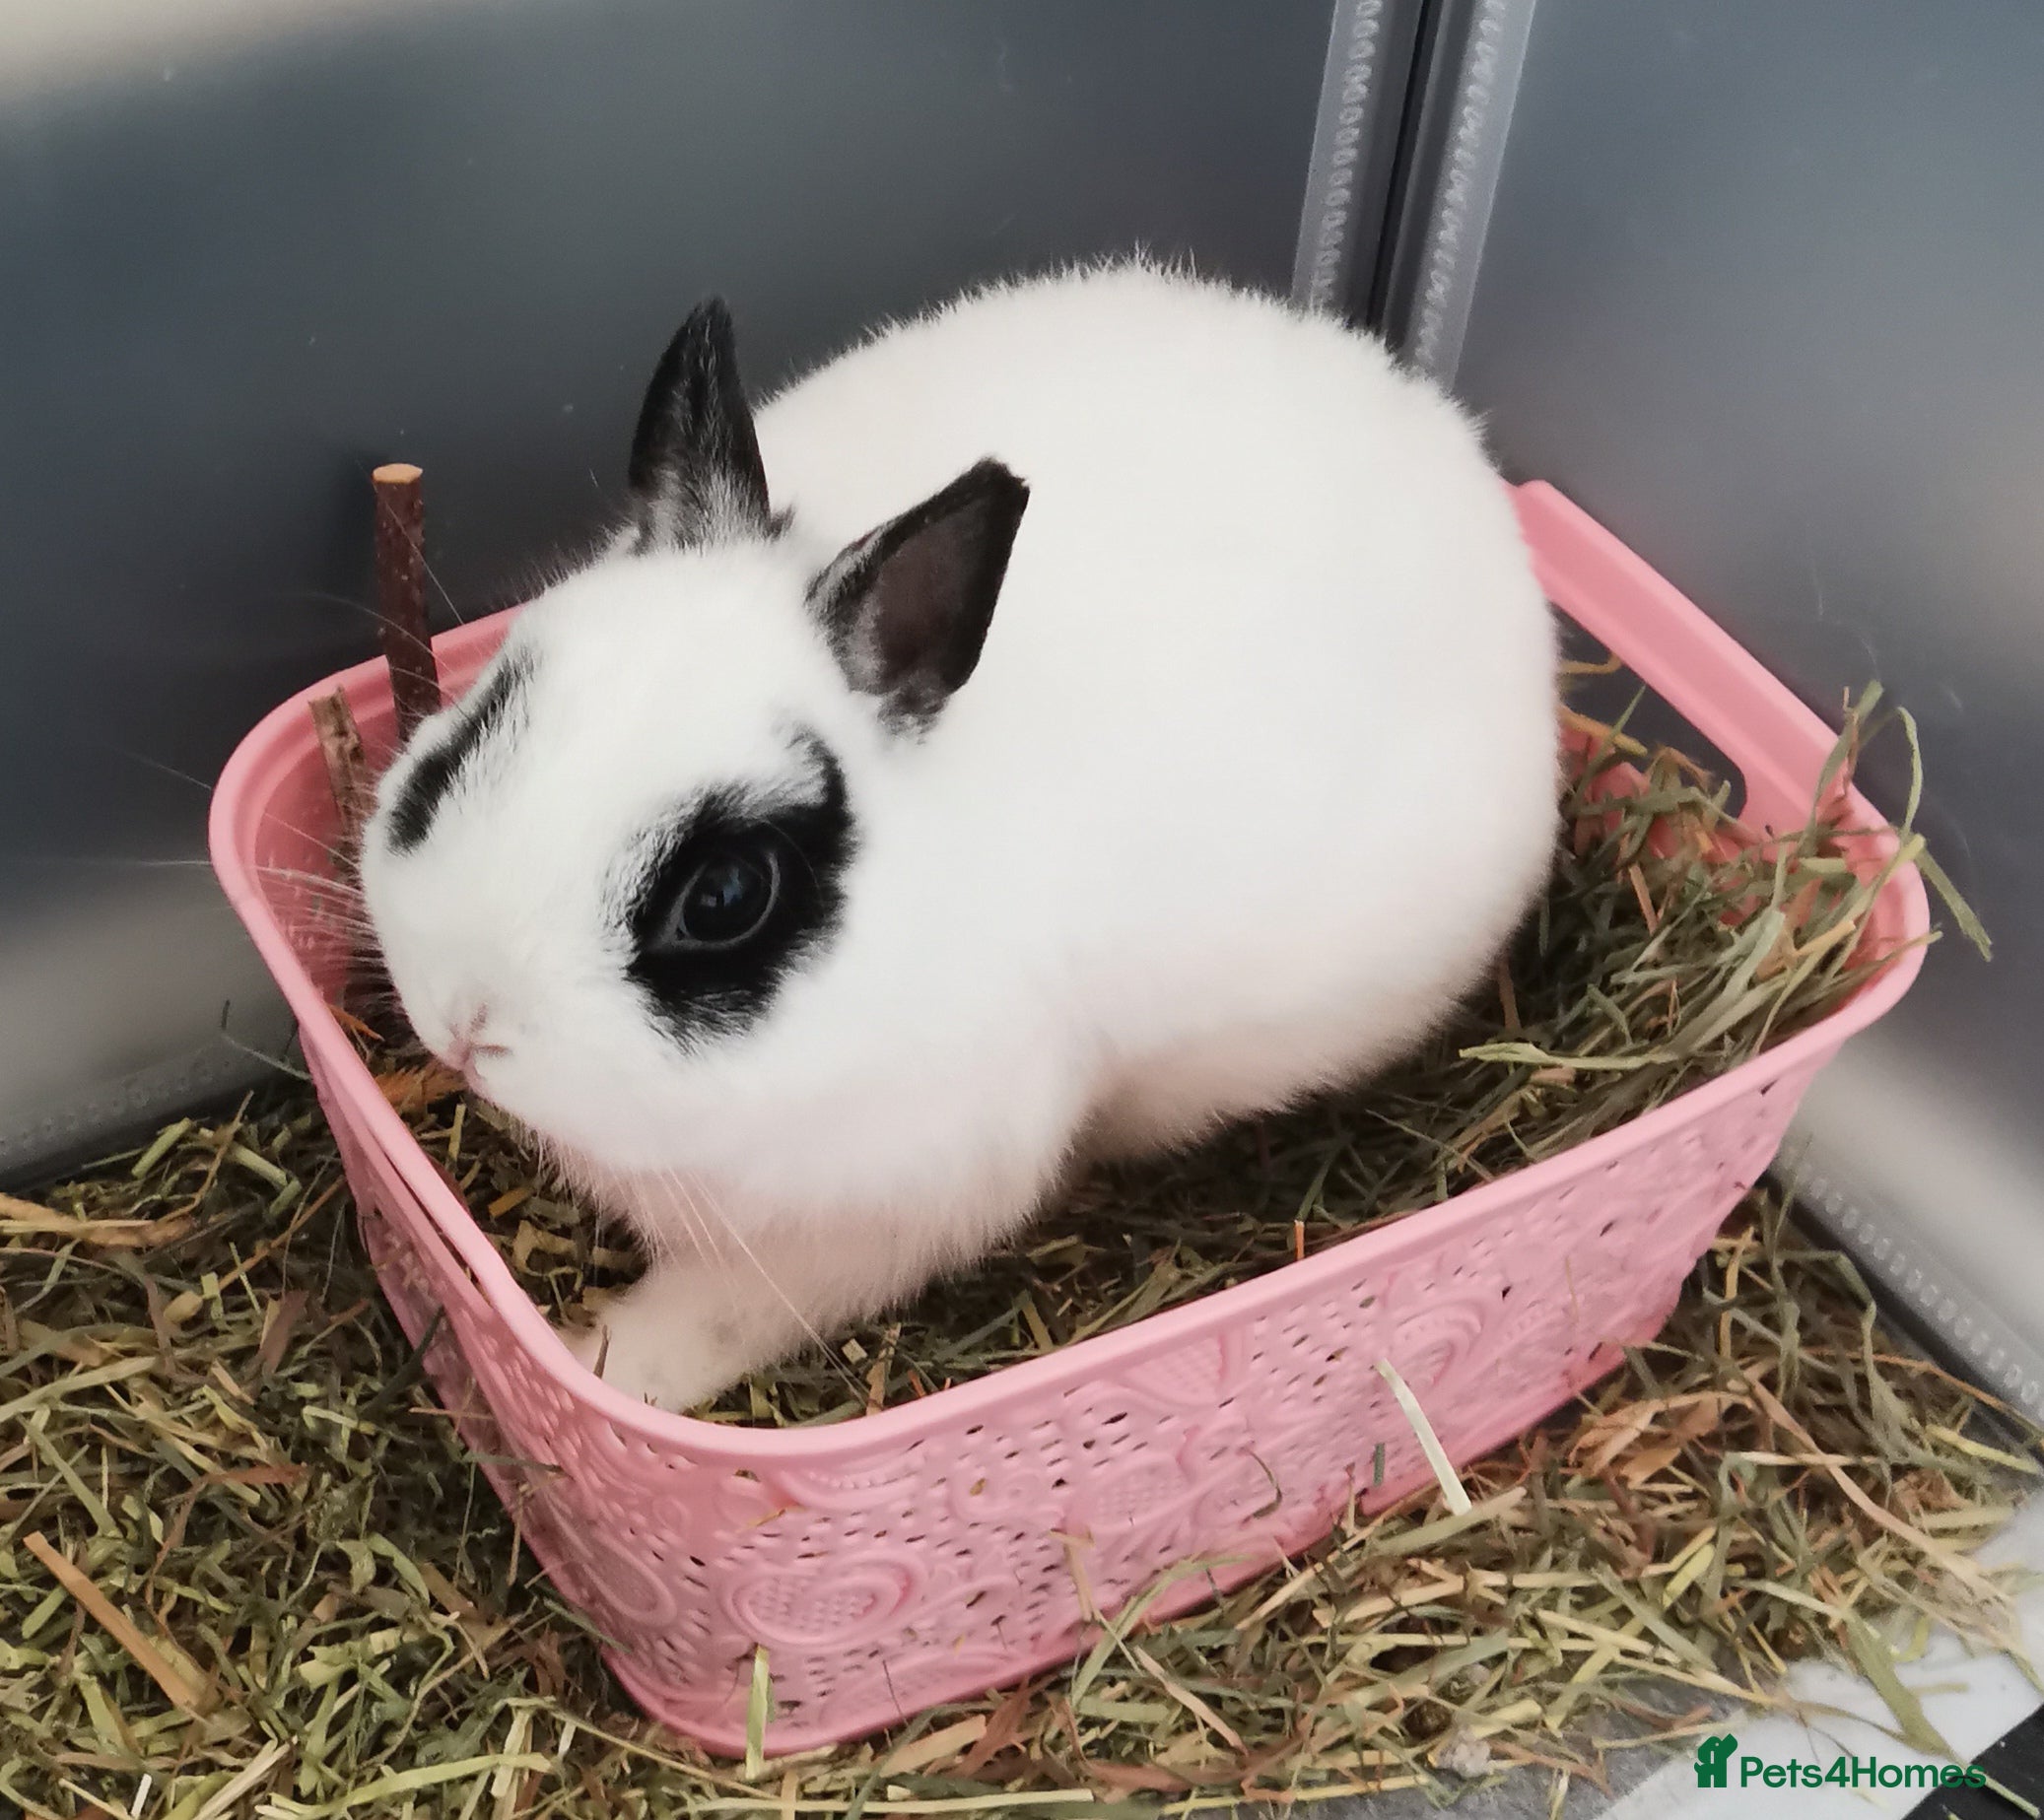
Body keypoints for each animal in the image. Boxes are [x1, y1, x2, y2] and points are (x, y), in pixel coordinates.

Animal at [358, 260, 1560, 1413]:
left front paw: (605, 1364)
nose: (465, 1020)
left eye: (726, 897)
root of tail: (1451, 440)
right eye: (479, 728)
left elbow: (721, 1315)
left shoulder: (878, 1214)